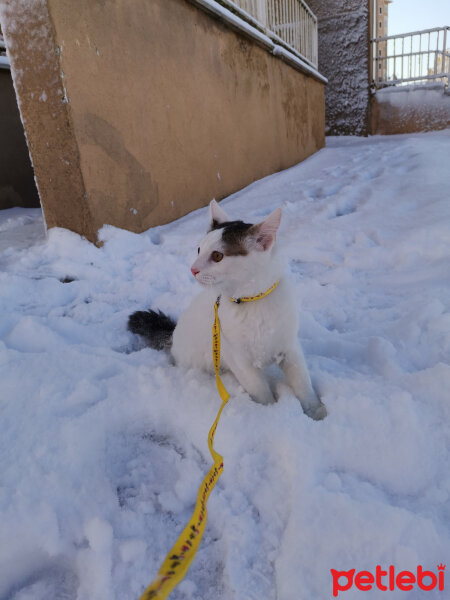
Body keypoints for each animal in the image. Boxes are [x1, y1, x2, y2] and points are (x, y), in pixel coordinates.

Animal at [129, 199, 326, 420]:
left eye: (217, 256)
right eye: (199, 250)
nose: (193, 269)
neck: (252, 302)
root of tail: (173, 335)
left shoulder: (290, 349)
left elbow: (303, 383)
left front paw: (316, 412)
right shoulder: (239, 361)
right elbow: (260, 391)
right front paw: (269, 414)